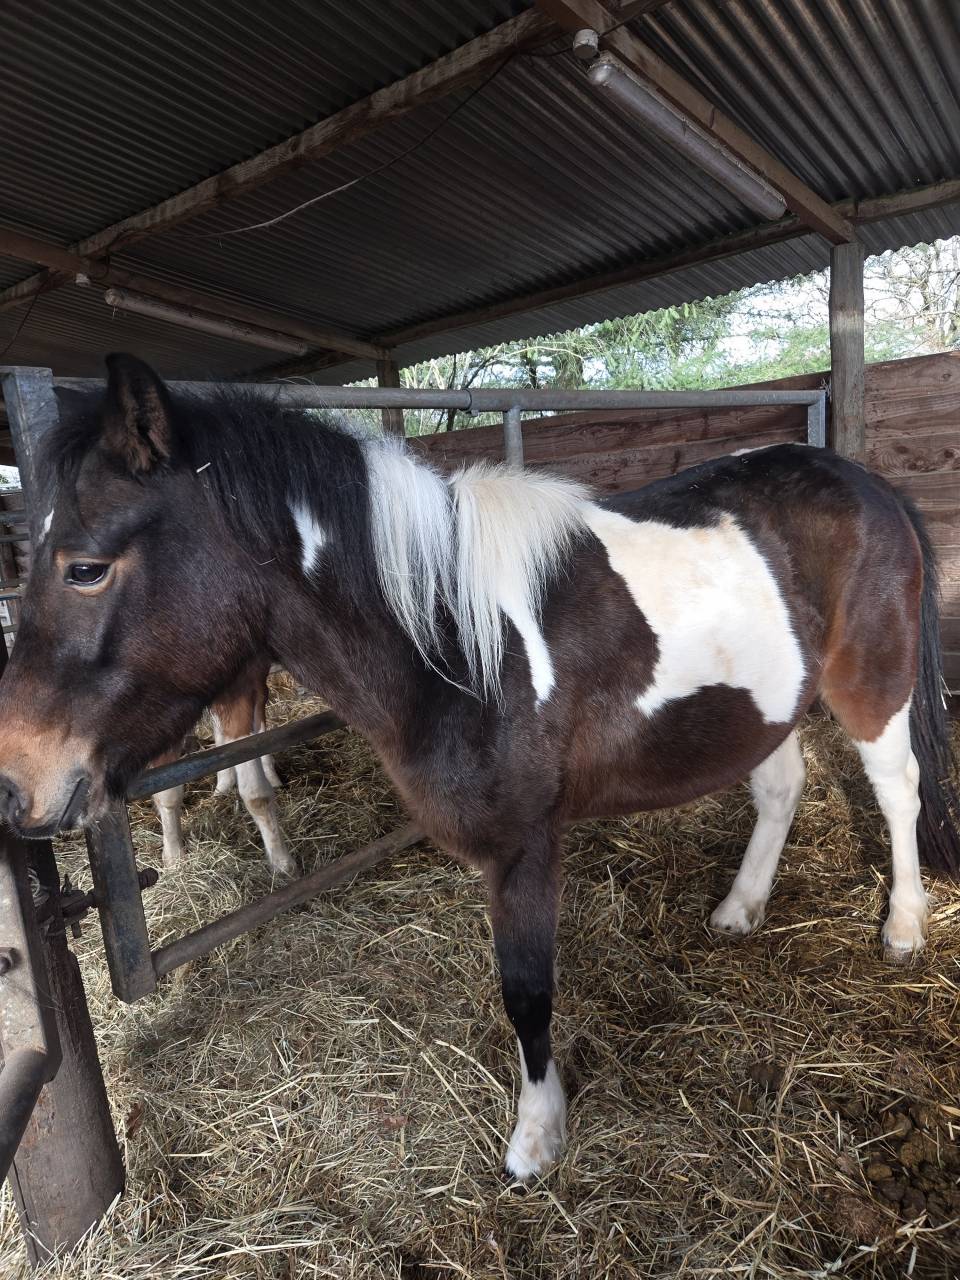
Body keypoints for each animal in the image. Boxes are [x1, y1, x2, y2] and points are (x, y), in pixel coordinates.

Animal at [149, 654, 293, 874]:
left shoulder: (240, 684)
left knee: (259, 709)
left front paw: (281, 862)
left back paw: (269, 774)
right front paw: (174, 858)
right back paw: (222, 786)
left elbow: (256, 793)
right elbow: (167, 792)